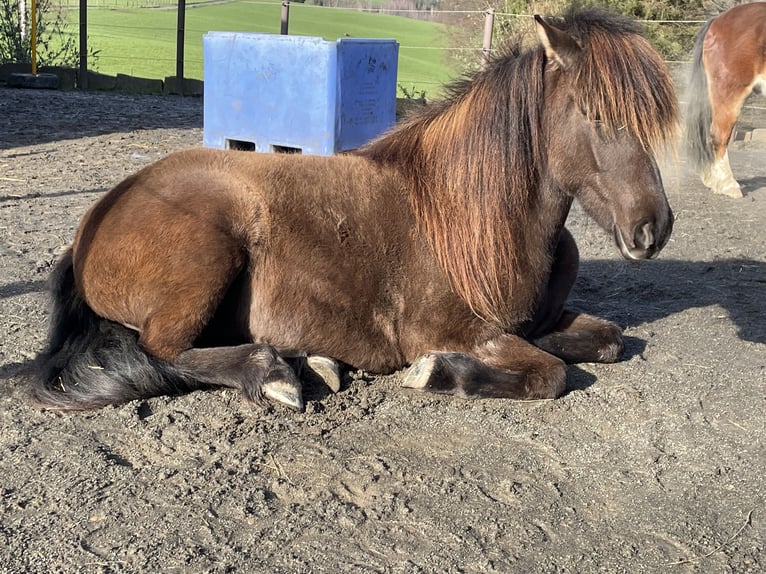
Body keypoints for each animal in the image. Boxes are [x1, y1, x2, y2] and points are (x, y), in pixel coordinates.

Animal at [28, 9, 680, 414]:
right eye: (596, 115)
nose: (655, 228)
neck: (469, 217)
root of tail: (98, 218)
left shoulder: (539, 322)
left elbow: (611, 340)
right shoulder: (459, 331)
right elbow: (551, 373)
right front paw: (439, 373)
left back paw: (309, 361)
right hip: (206, 259)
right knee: (164, 350)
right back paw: (272, 375)